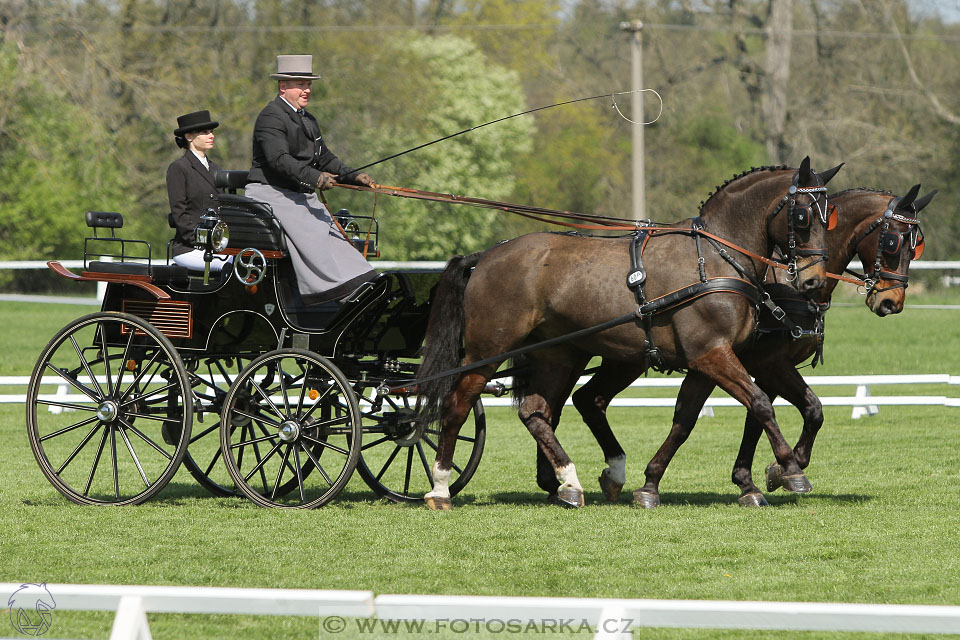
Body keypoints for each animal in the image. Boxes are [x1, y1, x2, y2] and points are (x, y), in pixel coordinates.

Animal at [418, 159, 840, 510]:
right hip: (486, 352)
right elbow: (761, 405)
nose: (813, 281)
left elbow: (691, 418)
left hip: (559, 355)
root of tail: (488, 255)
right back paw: (440, 486)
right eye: (802, 215)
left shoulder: (708, 360)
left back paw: (570, 483)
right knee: (457, 405)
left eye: (830, 218)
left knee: (537, 411)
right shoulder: (712, 354)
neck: (714, 257)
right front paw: (791, 470)